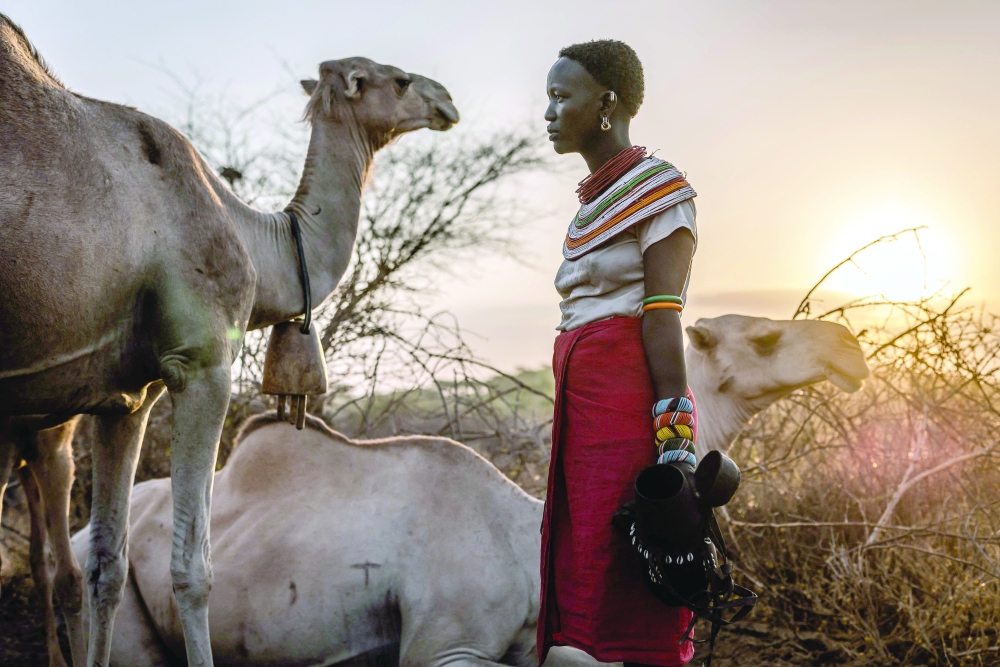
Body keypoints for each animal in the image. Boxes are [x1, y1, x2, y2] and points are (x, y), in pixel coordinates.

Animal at [0, 10, 459, 667]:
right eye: (396, 79)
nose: (447, 100)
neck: (253, 237)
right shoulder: (202, 364)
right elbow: (194, 570)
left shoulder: (126, 399)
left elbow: (106, 568)